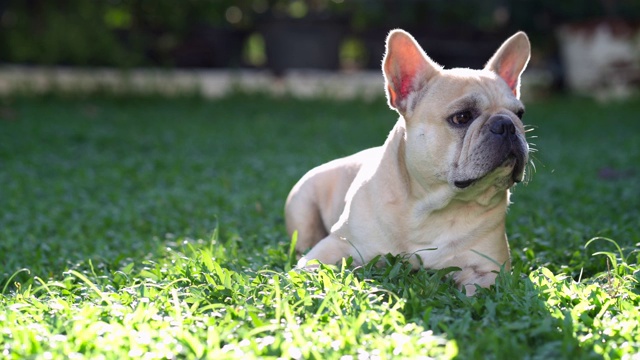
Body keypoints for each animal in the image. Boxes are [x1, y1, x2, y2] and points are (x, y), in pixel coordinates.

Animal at [284, 28, 528, 296]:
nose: (506, 125)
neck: (432, 207)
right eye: (462, 117)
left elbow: (480, 293)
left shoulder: (488, 271)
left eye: (520, 114)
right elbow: (309, 269)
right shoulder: (334, 245)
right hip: (303, 211)